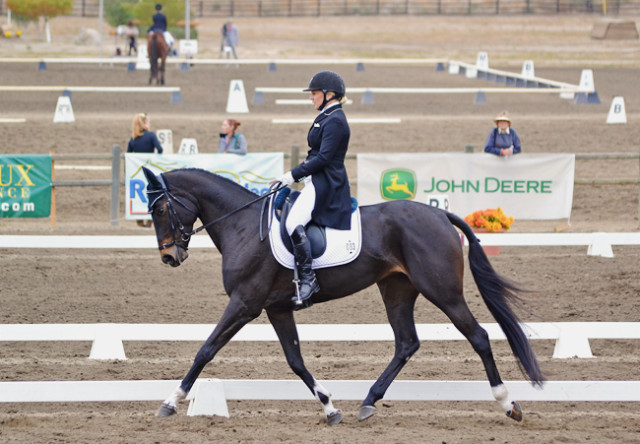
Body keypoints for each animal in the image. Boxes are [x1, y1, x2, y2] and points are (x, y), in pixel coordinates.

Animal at [142, 167, 544, 426]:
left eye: (160, 209)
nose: (169, 257)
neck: (241, 226)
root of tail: (442, 215)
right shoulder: (276, 309)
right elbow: (296, 361)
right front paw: (330, 408)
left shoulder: (245, 304)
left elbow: (205, 350)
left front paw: (170, 402)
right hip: (397, 289)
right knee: (406, 343)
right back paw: (368, 402)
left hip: (442, 290)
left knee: (478, 336)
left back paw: (508, 404)